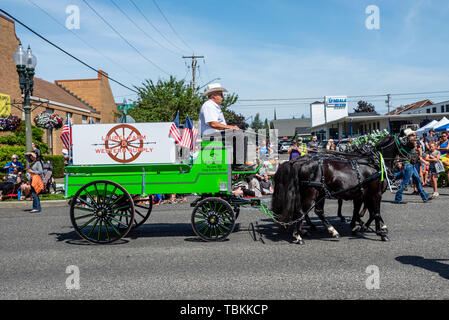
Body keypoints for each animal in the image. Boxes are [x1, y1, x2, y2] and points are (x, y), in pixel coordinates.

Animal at [270, 134, 412, 244]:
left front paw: (362, 226)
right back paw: (299, 235)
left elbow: (364, 211)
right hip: (311, 193)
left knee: (316, 211)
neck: (375, 163)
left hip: (319, 193)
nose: (413, 158)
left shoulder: (362, 194)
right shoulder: (375, 193)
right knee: (301, 211)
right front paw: (380, 232)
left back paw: (329, 230)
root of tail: (300, 163)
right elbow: (375, 212)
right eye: (408, 142)